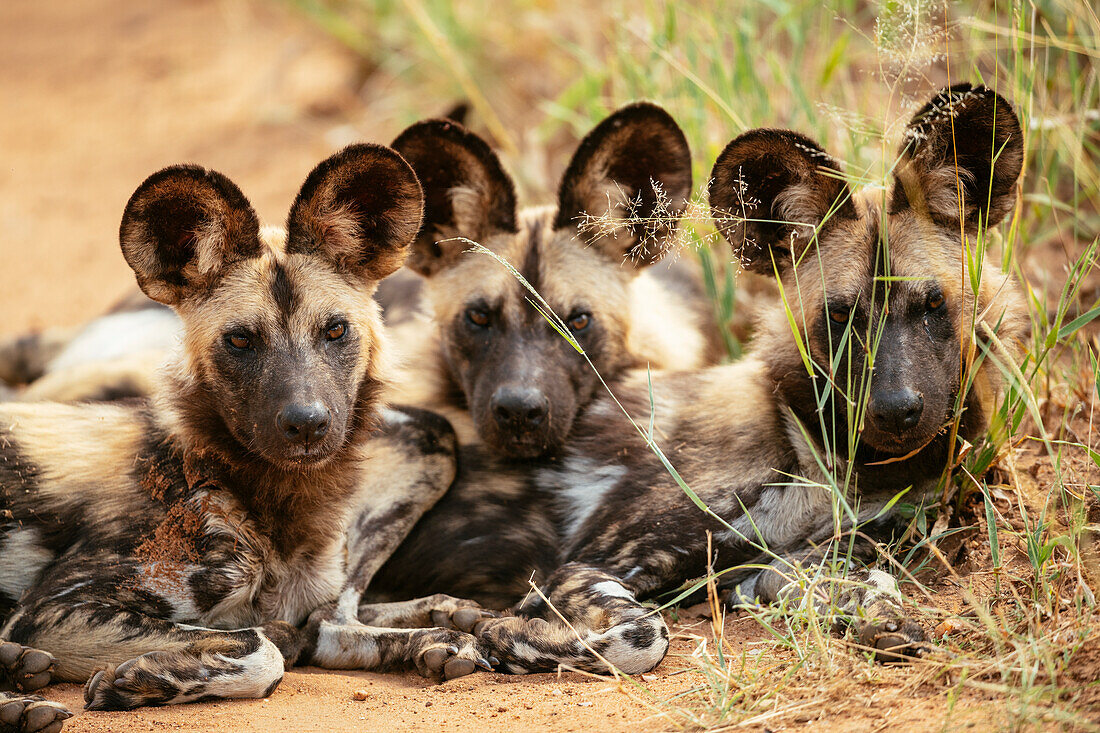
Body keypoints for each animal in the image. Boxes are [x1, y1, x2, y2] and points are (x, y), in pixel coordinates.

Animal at [0, 140, 495, 717]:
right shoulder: (51, 611)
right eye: (239, 341)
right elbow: (263, 649)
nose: (307, 423)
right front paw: (142, 678)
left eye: (335, 330)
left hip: (432, 441)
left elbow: (304, 627)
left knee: (338, 617)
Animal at [374, 84, 1025, 673]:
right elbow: (640, 635)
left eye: (933, 304)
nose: (893, 409)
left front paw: (877, 616)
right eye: (840, 315)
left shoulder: (800, 561)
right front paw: (504, 637)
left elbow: (837, 582)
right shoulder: (585, 568)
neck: (823, 463)